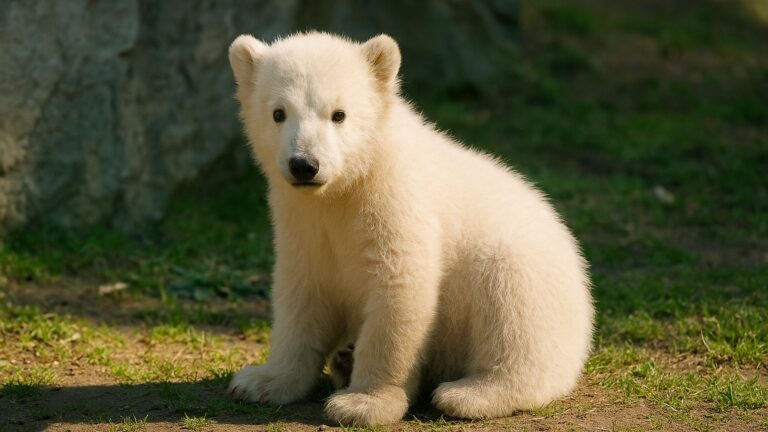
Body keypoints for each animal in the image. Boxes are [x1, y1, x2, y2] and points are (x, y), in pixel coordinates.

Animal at [227, 32, 594, 426]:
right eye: (278, 113)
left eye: (339, 114)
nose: (304, 165)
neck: (350, 183)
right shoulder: (302, 218)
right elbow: (304, 290)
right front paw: (261, 381)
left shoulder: (397, 200)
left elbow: (398, 287)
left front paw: (364, 402)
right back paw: (344, 358)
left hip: (528, 275)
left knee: (511, 310)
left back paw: (469, 394)